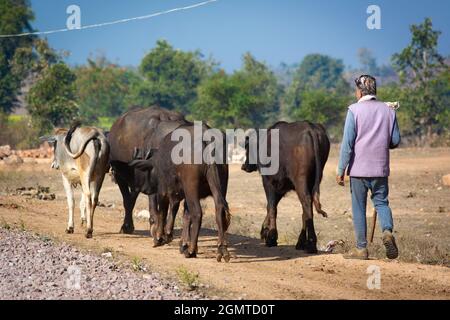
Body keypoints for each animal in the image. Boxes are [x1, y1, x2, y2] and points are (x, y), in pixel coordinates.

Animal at [128, 124, 230, 262]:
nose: (143, 188)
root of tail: (207, 137)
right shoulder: (182, 195)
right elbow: (183, 215)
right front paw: (181, 242)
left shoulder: (163, 190)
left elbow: (164, 212)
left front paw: (160, 237)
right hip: (219, 187)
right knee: (219, 209)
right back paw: (221, 249)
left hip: (191, 187)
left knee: (197, 213)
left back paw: (191, 250)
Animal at [243, 120, 330, 252]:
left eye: (247, 148)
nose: (244, 166)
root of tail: (310, 128)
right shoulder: (281, 188)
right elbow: (271, 206)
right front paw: (265, 231)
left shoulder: (268, 182)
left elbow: (271, 207)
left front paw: (271, 237)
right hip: (315, 180)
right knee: (306, 208)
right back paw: (301, 243)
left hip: (300, 180)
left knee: (306, 202)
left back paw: (310, 243)